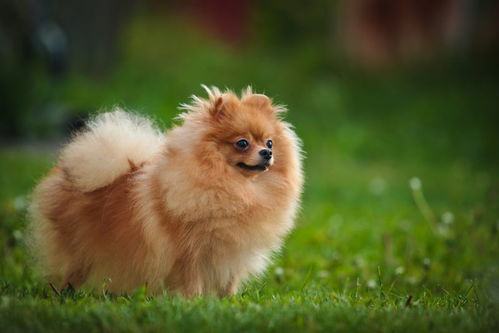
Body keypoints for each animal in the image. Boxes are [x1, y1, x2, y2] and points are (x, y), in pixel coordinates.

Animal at [28, 85, 304, 296]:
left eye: (269, 142)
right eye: (243, 143)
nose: (267, 153)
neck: (234, 187)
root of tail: (71, 171)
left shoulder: (231, 254)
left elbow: (228, 286)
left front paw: (229, 304)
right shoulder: (190, 254)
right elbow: (191, 284)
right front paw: (193, 305)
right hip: (81, 251)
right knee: (70, 274)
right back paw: (64, 295)